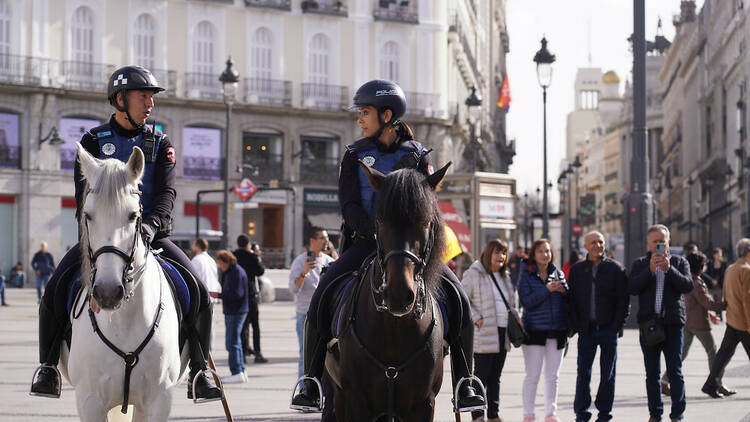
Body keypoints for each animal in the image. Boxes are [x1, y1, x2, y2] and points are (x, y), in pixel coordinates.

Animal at [58, 143, 188, 420]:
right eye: (88, 215)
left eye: (132, 215)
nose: (107, 292)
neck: (122, 320)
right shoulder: (90, 401)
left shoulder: (158, 400)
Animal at [324, 160, 452, 420]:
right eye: (381, 221)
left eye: (426, 222)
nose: (398, 294)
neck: (394, 328)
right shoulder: (356, 403)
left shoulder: (423, 405)